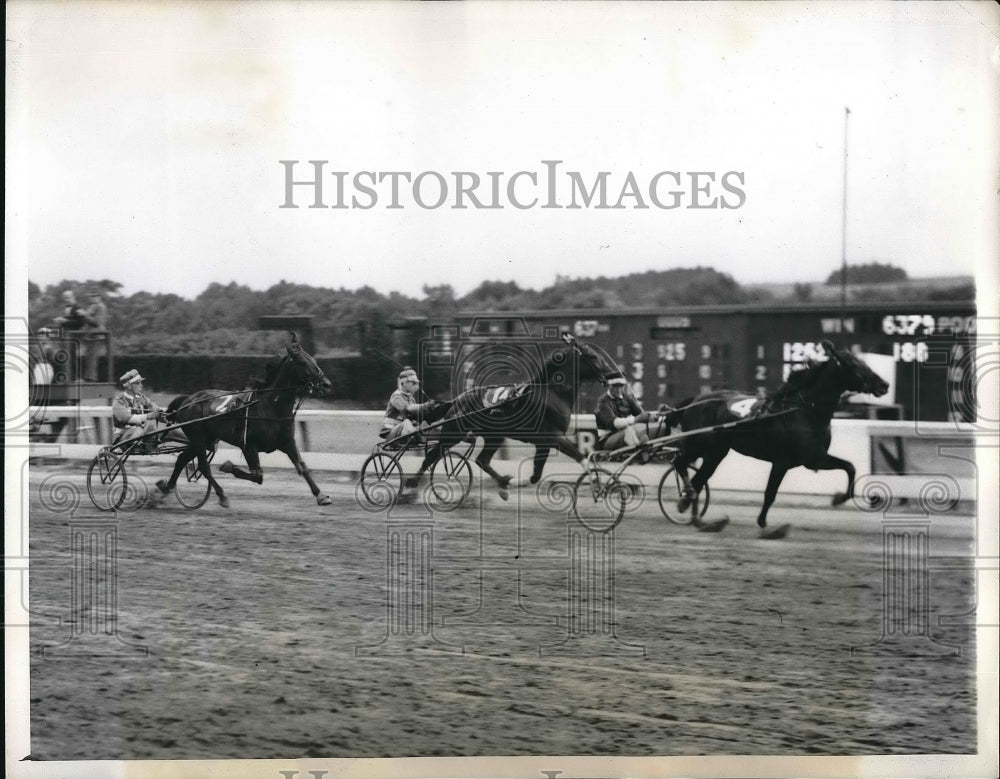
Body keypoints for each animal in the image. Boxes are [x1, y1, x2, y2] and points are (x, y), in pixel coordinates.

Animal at [151, 336, 332, 508]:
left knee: (182, 459)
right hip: (198, 438)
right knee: (203, 466)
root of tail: (188, 399)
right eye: (302, 362)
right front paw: (227, 466)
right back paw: (222, 495)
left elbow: (302, 466)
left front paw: (321, 495)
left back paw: (164, 491)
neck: (270, 407)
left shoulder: (287, 442)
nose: (326, 384)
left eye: (314, 361)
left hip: (205, 439)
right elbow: (257, 475)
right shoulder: (248, 445)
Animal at [406, 334, 616, 500]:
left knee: (482, 460)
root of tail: (457, 400)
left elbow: (536, 474)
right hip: (454, 431)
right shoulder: (554, 437)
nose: (612, 373)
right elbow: (581, 457)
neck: (552, 394)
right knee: (433, 455)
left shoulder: (544, 443)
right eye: (592, 356)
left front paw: (516, 482)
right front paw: (596, 482)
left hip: (495, 436)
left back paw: (504, 484)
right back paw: (411, 483)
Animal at [664, 342, 892, 536]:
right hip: (699, 445)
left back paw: (699, 518)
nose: (884, 384)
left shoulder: (814, 459)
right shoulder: (783, 461)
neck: (803, 410)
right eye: (855, 365)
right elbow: (770, 493)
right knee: (681, 464)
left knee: (699, 479)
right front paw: (767, 526)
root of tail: (694, 400)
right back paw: (688, 500)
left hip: (715, 453)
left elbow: (850, 467)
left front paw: (839, 498)